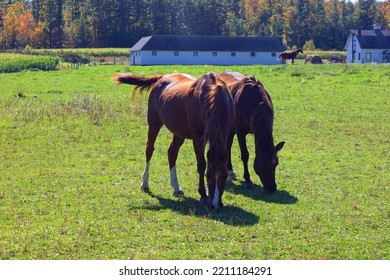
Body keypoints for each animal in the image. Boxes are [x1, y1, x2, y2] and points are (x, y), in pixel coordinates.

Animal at [112, 71, 235, 209]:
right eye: (209, 176)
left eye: (224, 175)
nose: (216, 205)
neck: (212, 96)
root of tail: (162, 77)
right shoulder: (198, 138)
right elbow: (201, 165)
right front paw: (204, 195)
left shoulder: (224, 134)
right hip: (154, 124)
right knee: (149, 149)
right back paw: (145, 183)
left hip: (179, 132)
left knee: (172, 153)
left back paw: (176, 187)